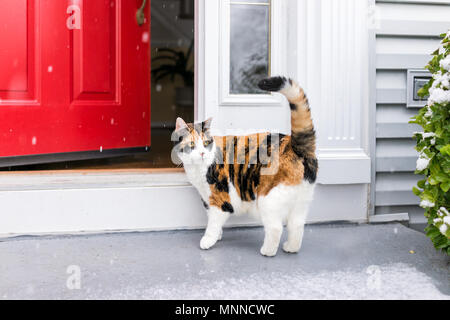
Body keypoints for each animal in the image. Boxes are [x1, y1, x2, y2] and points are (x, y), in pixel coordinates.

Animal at [172, 76, 316, 256]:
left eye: (205, 143)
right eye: (192, 145)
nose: (202, 153)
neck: (198, 168)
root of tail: (295, 146)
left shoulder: (220, 197)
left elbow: (213, 223)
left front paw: (208, 240)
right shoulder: (206, 198)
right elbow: (212, 218)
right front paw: (218, 235)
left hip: (268, 199)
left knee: (275, 227)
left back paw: (267, 251)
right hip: (302, 199)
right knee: (297, 225)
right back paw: (291, 248)